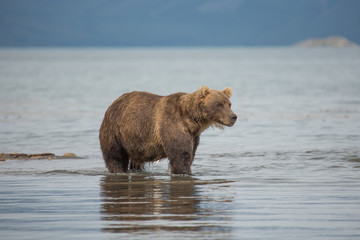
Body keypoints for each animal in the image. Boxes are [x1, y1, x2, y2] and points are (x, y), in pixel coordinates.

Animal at [100, 86, 238, 174]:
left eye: (229, 104)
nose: (233, 117)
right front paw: (185, 172)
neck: (191, 120)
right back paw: (119, 171)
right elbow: (181, 156)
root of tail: (113, 104)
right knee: (115, 157)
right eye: (219, 104)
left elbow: (190, 154)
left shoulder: (193, 136)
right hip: (115, 131)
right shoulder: (172, 125)